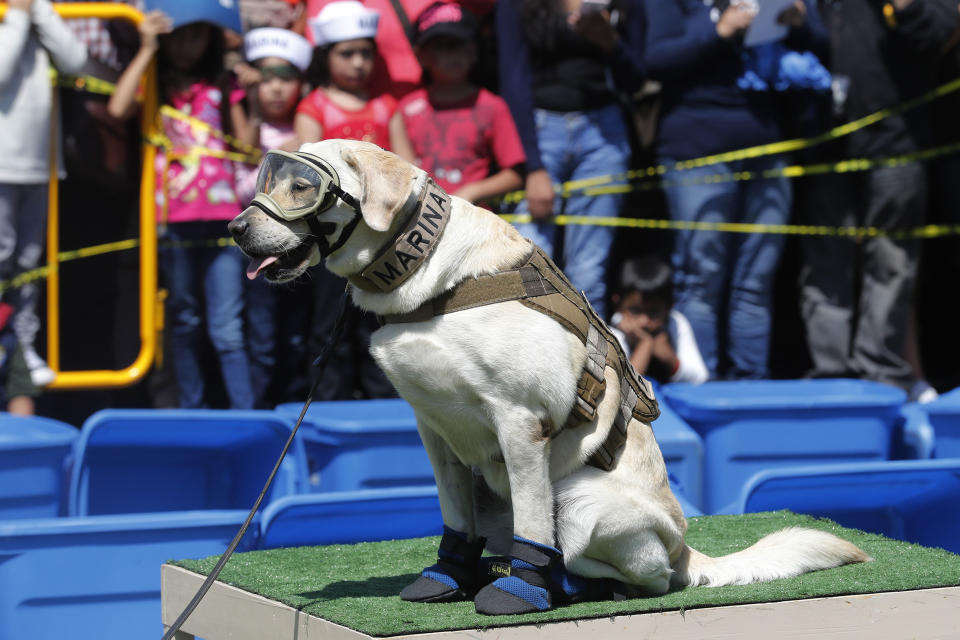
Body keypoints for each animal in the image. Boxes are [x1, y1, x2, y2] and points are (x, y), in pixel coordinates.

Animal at [231, 139, 872, 616]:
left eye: (302, 185)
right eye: (271, 176)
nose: (236, 228)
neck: (427, 277)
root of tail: (688, 548)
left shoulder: (520, 423)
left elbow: (534, 525)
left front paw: (520, 590)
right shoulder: (433, 429)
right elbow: (454, 517)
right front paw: (447, 576)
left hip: (583, 502)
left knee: (642, 578)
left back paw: (565, 583)